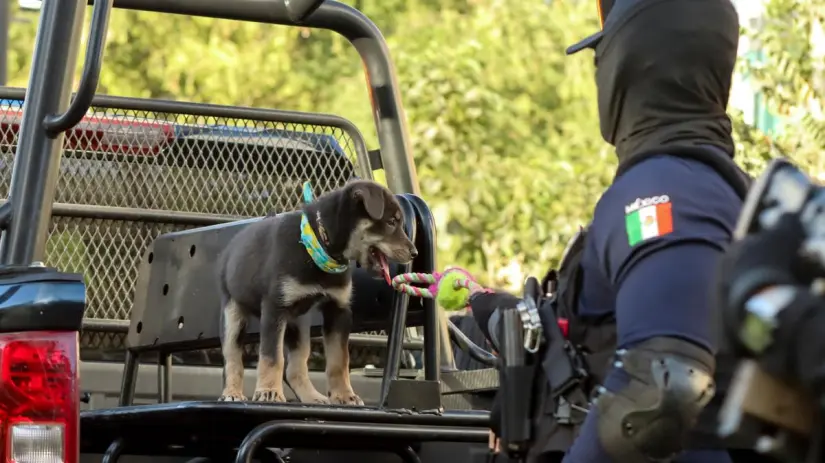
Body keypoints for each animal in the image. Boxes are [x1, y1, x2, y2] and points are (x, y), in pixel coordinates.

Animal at [217, 179, 416, 404]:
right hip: (233, 315)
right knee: (232, 360)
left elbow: (339, 360)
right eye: (391, 222)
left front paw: (344, 395)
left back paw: (312, 397)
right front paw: (269, 392)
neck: (318, 245)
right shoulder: (274, 308)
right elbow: (272, 357)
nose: (414, 253)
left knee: (295, 367)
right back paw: (232, 393)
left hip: (298, 325)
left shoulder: (338, 310)